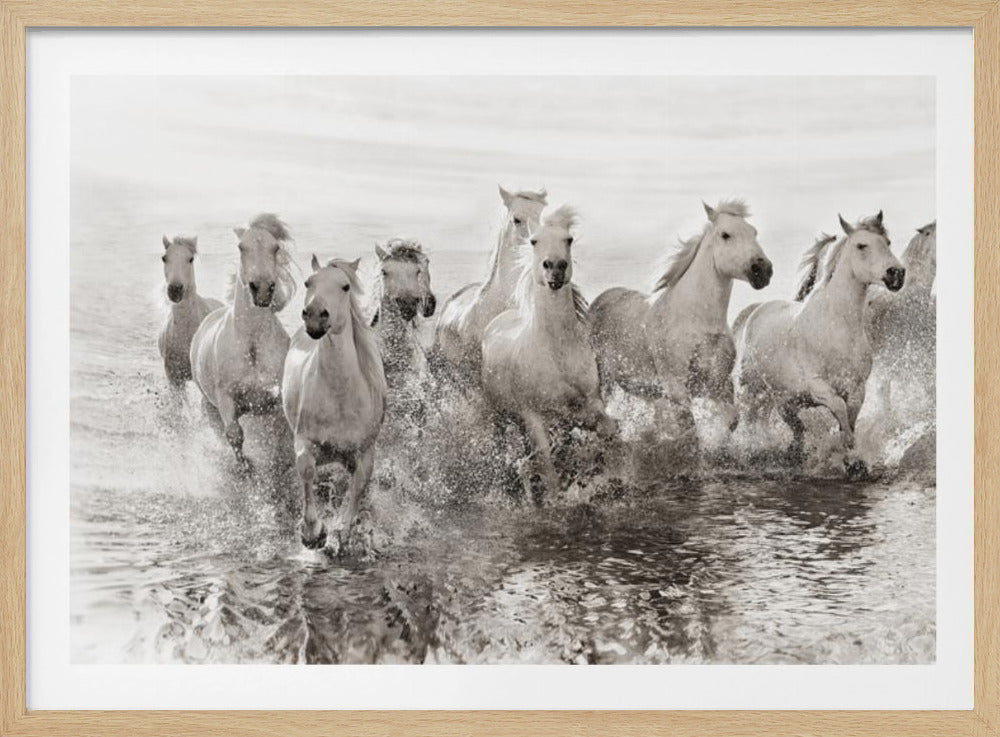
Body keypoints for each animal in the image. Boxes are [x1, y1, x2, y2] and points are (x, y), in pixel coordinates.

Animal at [190, 213, 296, 471]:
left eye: (275, 247)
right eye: (241, 247)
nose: (262, 289)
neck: (252, 343)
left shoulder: (275, 401)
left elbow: (280, 439)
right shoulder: (226, 398)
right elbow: (234, 434)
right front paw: (247, 467)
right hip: (209, 405)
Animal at [282, 256, 387, 550]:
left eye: (345, 286)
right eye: (308, 282)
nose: (315, 315)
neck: (339, 397)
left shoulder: (365, 452)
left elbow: (358, 486)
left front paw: (341, 529)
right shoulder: (305, 440)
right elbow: (306, 470)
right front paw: (313, 533)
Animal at [481, 205, 618, 500]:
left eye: (569, 239)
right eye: (534, 241)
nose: (555, 267)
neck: (557, 353)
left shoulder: (591, 400)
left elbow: (606, 428)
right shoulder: (532, 415)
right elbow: (546, 463)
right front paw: (554, 497)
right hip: (500, 415)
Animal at [589, 200, 772, 442]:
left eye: (753, 232)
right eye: (725, 235)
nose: (763, 270)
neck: (697, 319)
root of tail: (600, 299)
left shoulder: (718, 384)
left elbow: (731, 420)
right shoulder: (676, 386)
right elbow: (689, 428)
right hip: (605, 379)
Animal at [732, 211, 905, 473]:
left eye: (887, 243)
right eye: (861, 245)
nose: (896, 273)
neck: (837, 328)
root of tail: (755, 310)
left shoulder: (857, 387)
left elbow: (850, 417)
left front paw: (853, 459)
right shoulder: (818, 385)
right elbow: (840, 409)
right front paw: (846, 452)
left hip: (783, 398)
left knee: (789, 425)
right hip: (751, 388)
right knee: (749, 418)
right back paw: (752, 450)